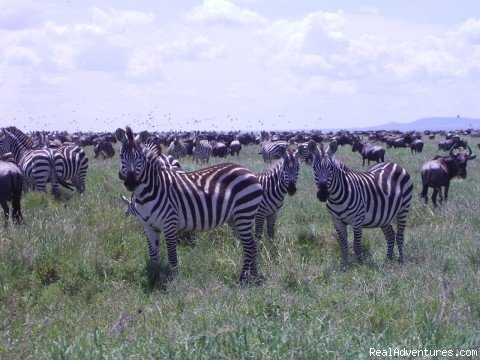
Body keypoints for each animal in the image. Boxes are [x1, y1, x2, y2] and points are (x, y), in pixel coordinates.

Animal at [116, 126, 264, 284]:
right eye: (121, 156)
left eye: (140, 157)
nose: (131, 182)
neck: (146, 194)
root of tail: (246, 170)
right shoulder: (149, 227)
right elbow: (153, 255)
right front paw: (154, 277)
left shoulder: (169, 224)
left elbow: (172, 255)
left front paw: (175, 280)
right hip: (234, 218)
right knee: (252, 244)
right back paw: (254, 275)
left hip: (244, 213)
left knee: (248, 246)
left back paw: (243, 278)